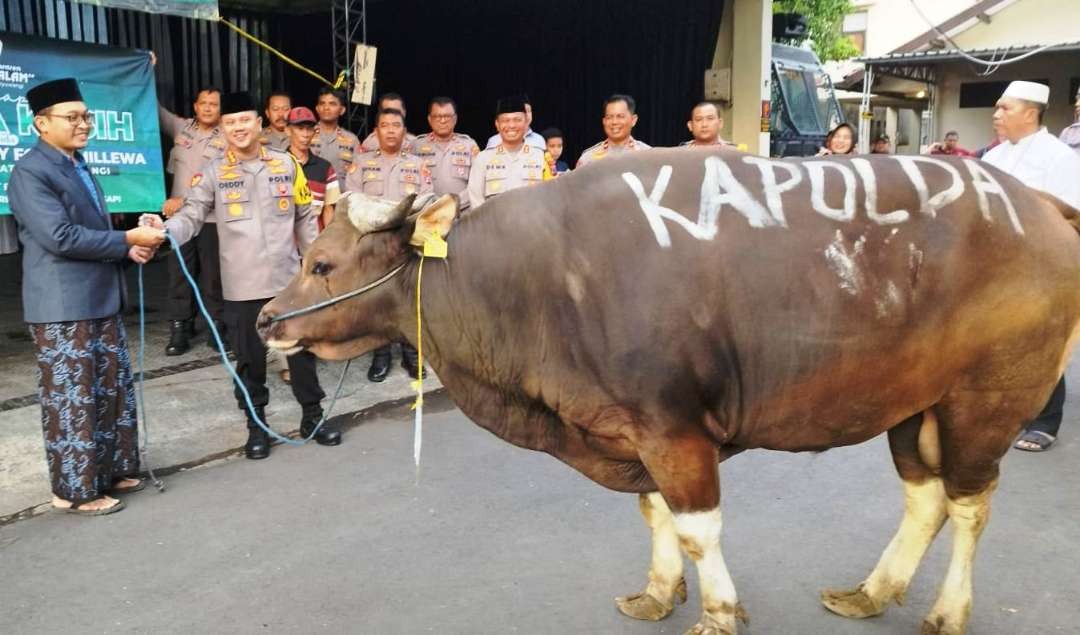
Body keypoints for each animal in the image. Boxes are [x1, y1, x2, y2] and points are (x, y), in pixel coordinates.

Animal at [254, 150, 1080, 635]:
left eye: (323, 264)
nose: (265, 319)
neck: (535, 282)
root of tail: (1037, 204)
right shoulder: (629, 430)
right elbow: (654, 514)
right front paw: (657, 592)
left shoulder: (675, 430)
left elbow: (696, 528)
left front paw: (716, 612)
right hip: (913, 404)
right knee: (925, 495)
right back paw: (871, 591)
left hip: (985, 400)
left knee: (969, 504)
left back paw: (946, 611)